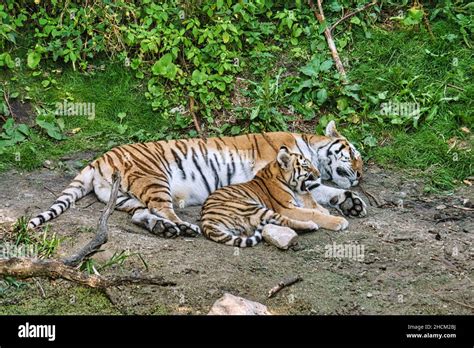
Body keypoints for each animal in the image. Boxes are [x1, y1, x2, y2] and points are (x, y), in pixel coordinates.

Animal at [27, 121, 366, 238]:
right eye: (353, 152)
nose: (361, 173)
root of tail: (100, 158)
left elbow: (324, 191)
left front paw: (352, 203)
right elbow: (313, 199)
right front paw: (340, 213)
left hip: (125, 197)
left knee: (141, 215)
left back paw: (165, 229)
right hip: (154, 179)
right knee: (163, 209)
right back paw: (184, 226)